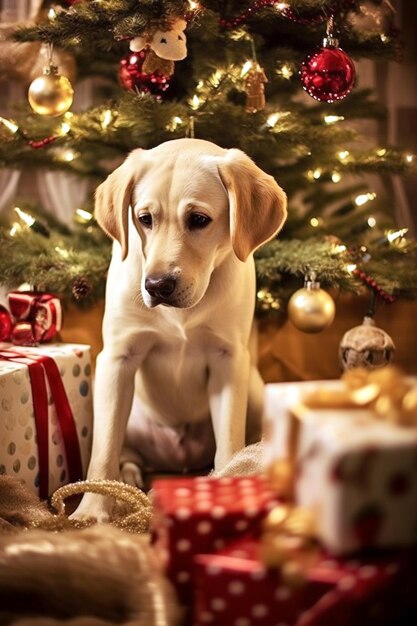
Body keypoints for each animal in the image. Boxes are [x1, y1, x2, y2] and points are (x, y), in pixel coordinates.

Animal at [72, 139, 286, 520]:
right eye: (144, 219)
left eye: (199, 220)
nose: (157, 286)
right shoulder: (118, 358)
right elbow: (103, 450)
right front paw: (91, 510)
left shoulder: (228, 359)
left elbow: (229, 445)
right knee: (125, 451)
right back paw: (128, 479)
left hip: (258, 394)